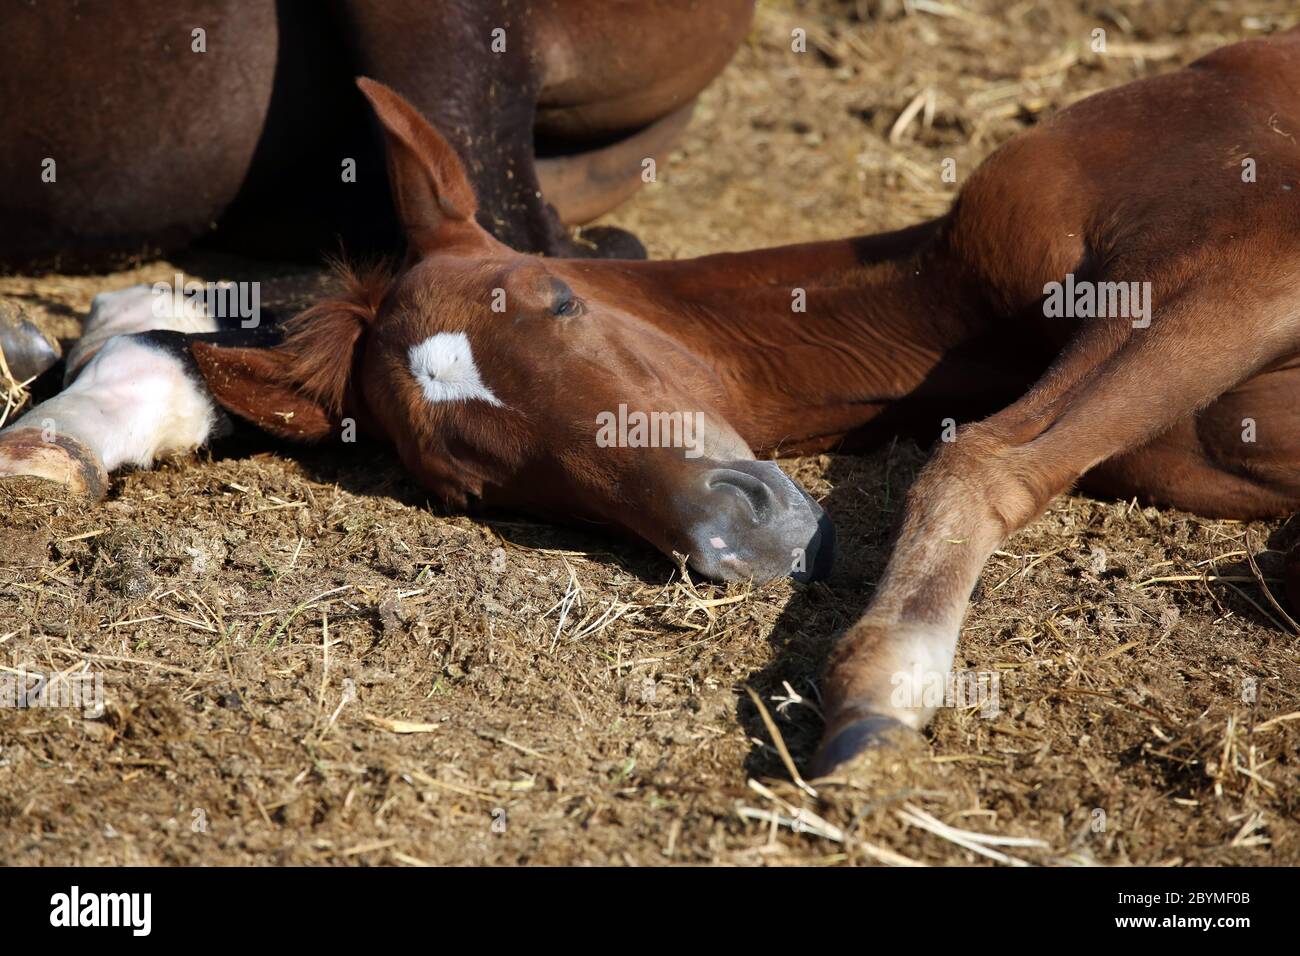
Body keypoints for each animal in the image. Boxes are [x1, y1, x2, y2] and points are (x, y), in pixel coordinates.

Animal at [2, 31, 1300, 780]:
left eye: (558, 298)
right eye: (468, 485)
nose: (743, 535)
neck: (963, 297)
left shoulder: (1232, 248)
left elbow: (976, 455)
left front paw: (875, 687)